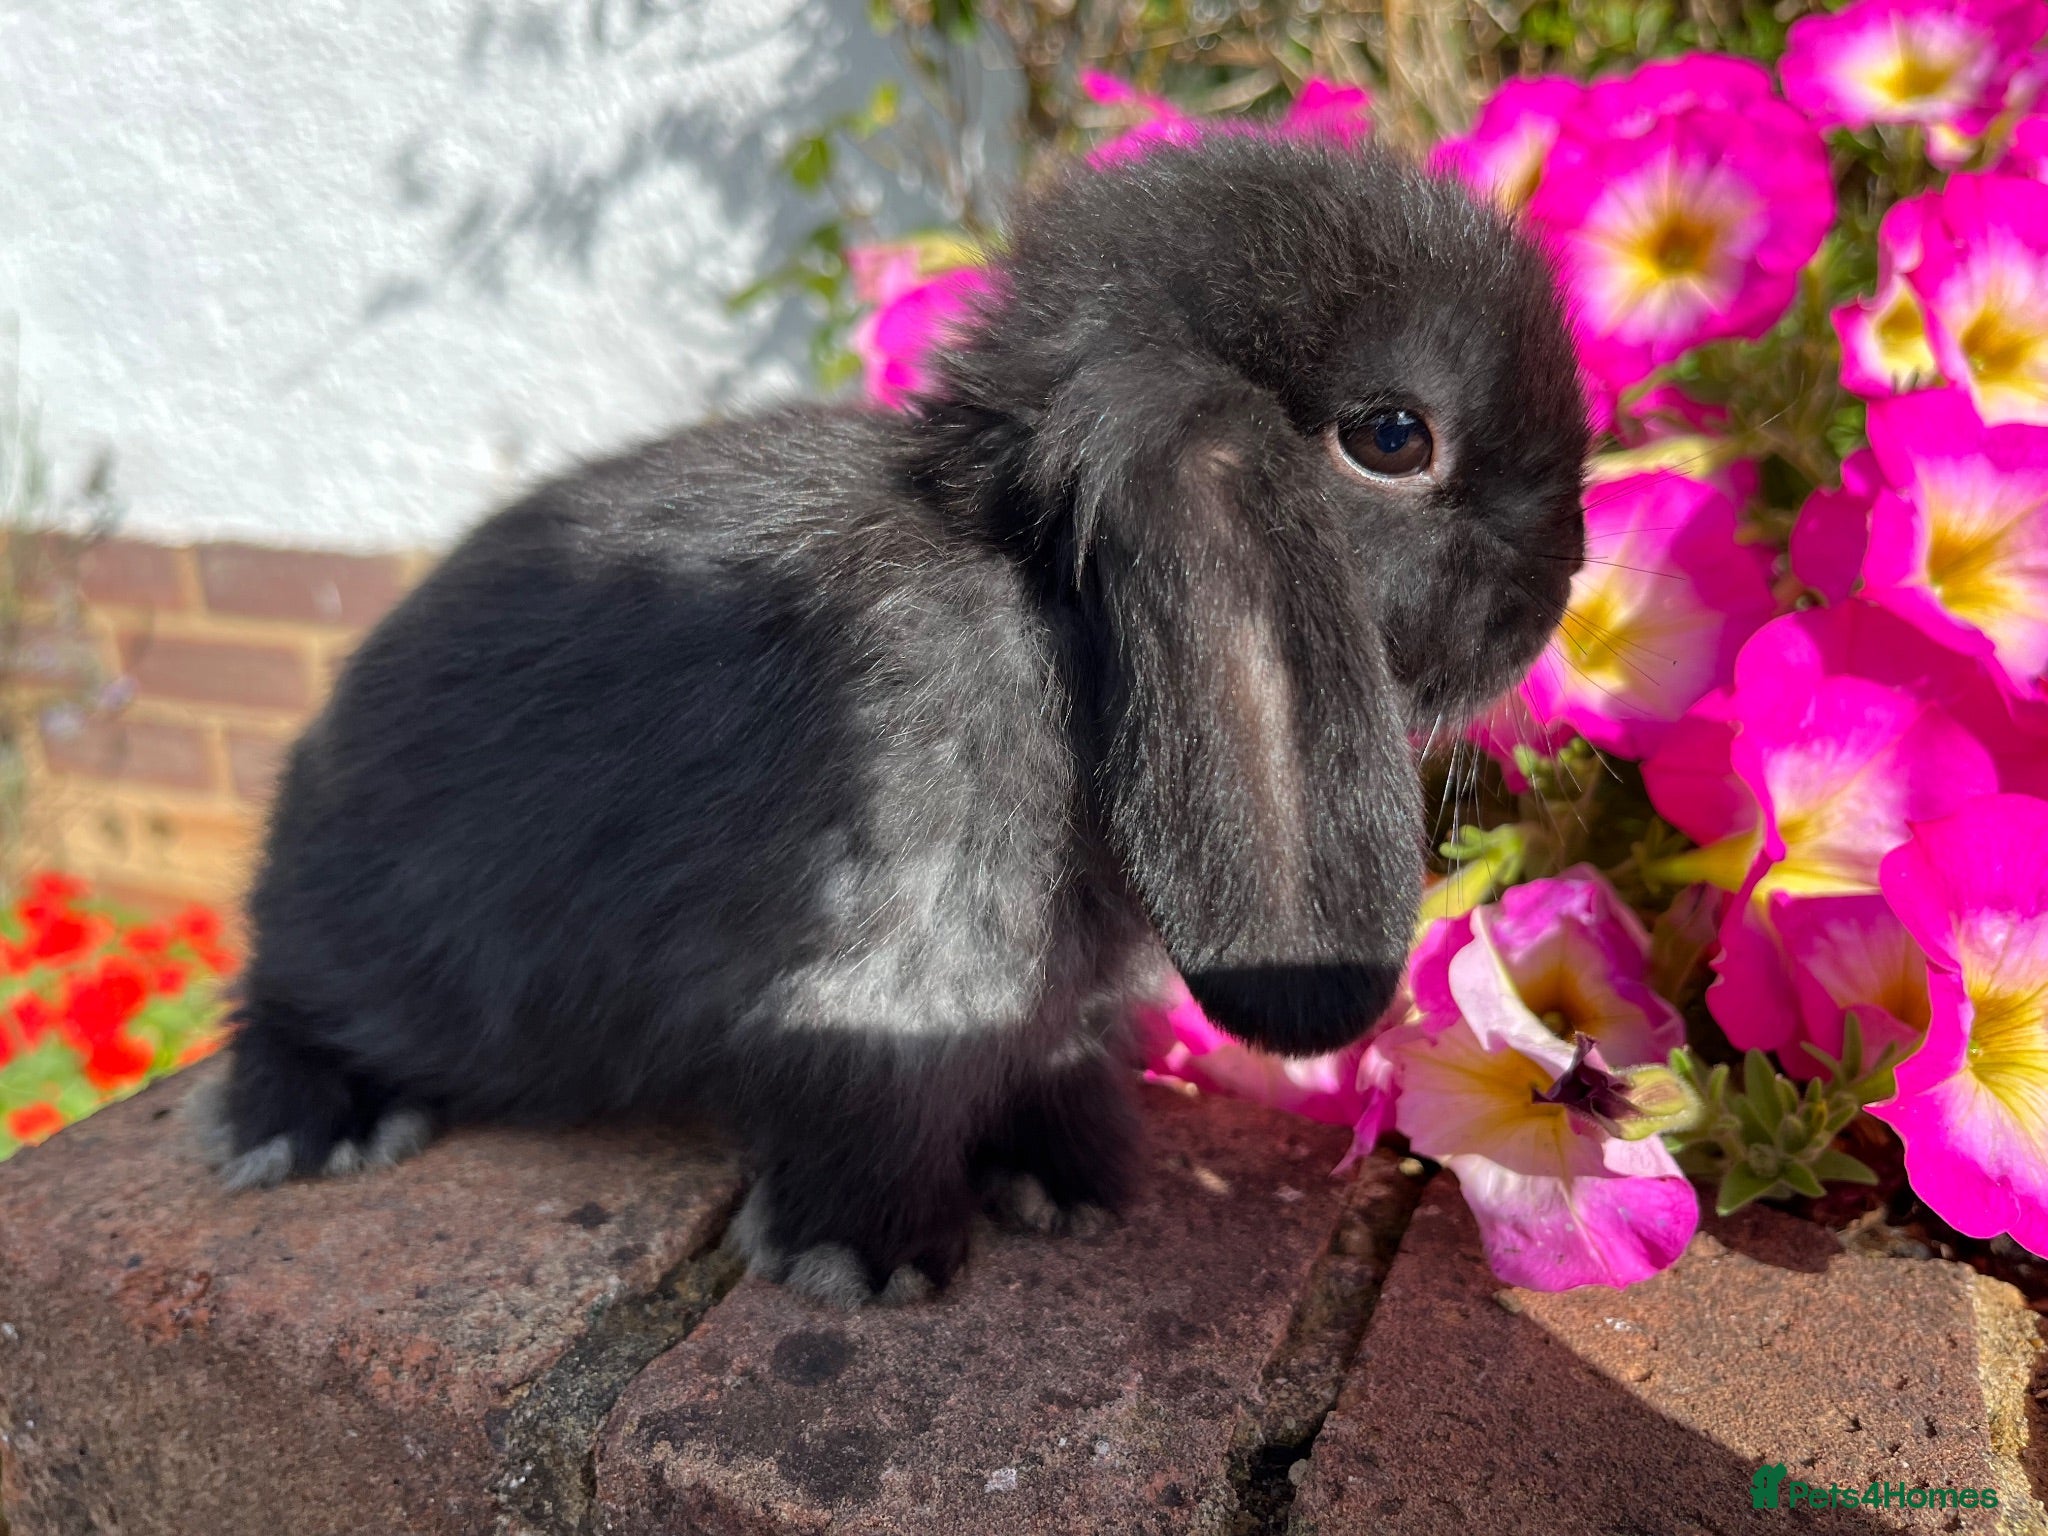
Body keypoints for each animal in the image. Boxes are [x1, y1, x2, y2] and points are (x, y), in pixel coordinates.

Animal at [198, 131, 1588, 1307]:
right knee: (280, 1002)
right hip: (378, 954)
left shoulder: (1067, 1008)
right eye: (1391, 438)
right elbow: (877, 1106)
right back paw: (308, 1126)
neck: (1049, 609)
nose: (1558, 590)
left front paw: (1069, 1189)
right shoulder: (894, 972)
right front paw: (866, 1263)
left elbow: (1057, 1069)